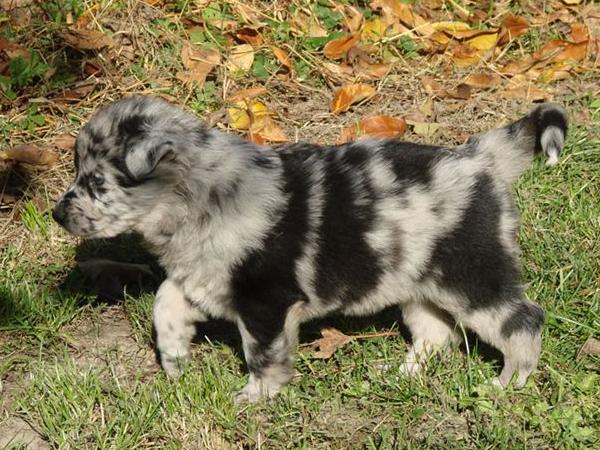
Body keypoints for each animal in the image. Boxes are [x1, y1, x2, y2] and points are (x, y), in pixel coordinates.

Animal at [52, 96, 568, 402]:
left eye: (96, 183)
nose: (57, 214)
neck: (199, 196)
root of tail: (479, 158)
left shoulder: (266, 301)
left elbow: (262, 354)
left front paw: (254, 398)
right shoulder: (205, 277)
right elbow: (165, 304)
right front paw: (176, 360)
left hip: (471, 277)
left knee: (522, 320)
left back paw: (507, 384)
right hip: (419, 284)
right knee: (436, 334)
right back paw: (401, 374)